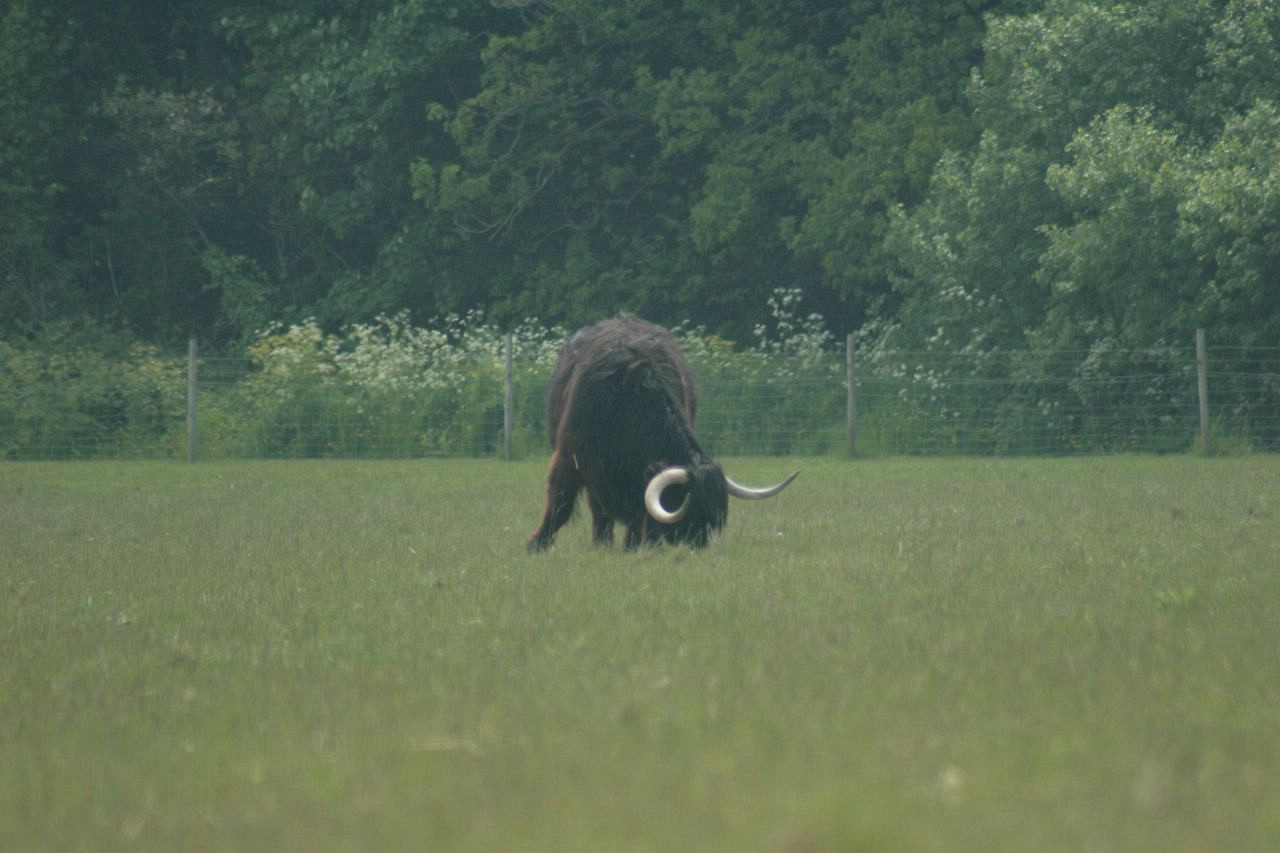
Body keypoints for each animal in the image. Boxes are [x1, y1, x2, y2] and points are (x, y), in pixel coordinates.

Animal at [528, 314, 798, 551]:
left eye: (716, 518)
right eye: (691, 511)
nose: (699, 546)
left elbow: (640, 509)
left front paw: (636, 545)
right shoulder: (571, 455)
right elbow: (560, 503)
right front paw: (537, 545)